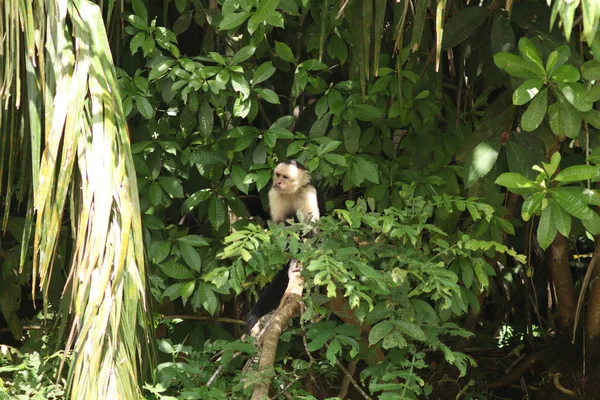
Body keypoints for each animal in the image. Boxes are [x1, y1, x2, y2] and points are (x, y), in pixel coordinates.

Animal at [246, 159, 326, 334]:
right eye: (277, 175)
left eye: (285, 177)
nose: (278, 182)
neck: (292, 193)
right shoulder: (274, 194)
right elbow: (280, 231)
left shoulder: (308, 192)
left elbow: (311, 232)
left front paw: (295, 261)